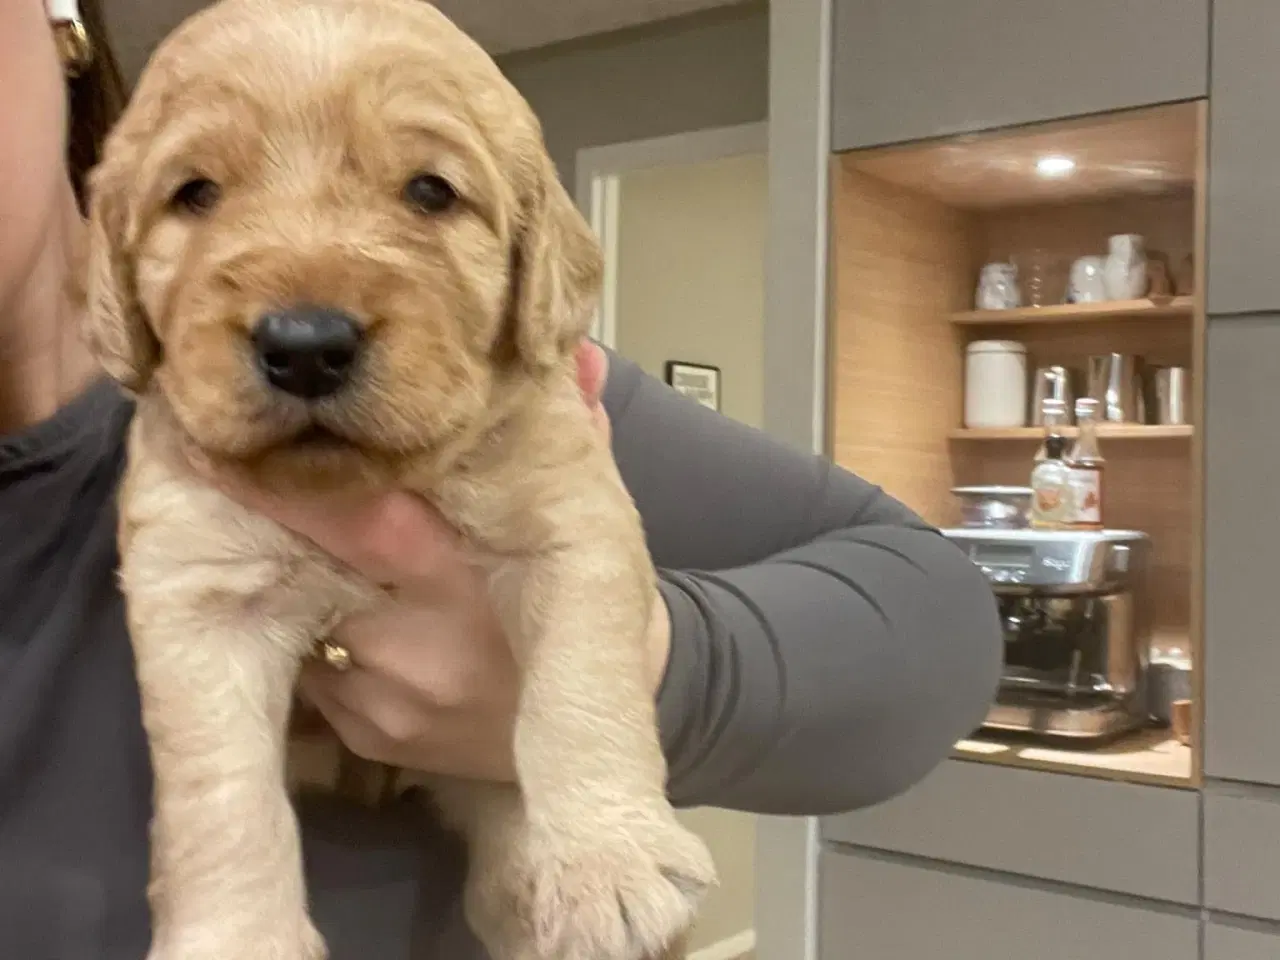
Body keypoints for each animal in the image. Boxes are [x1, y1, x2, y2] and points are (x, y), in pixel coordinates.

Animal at [81, 1, 721, 960]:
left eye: (429, 191)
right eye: (195, 194)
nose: (306, 345)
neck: (353, 479)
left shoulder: (571, 521)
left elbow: (578, 693)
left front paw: (606, 860)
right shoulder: (196, 594)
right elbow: (222, 798)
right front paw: (239, 934)